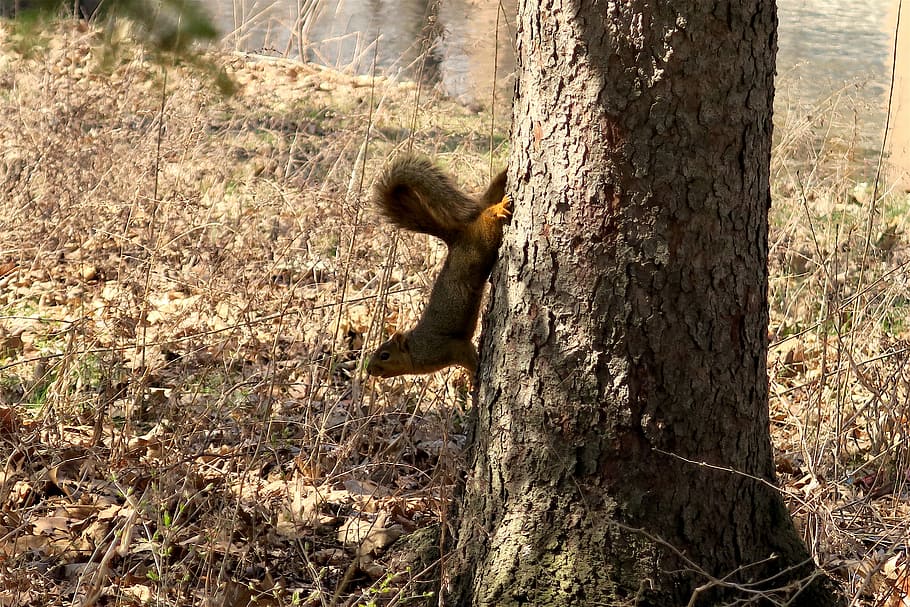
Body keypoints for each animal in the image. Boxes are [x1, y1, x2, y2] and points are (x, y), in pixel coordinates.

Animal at [367, 156, 510, 378]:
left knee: (488, 216)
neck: (416, 349)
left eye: (384, 355)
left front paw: (475, 378)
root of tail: (458, 235)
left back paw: (497, 209)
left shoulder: (448, 347)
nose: (368, 370)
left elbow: (467, 355)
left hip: (482, 242)